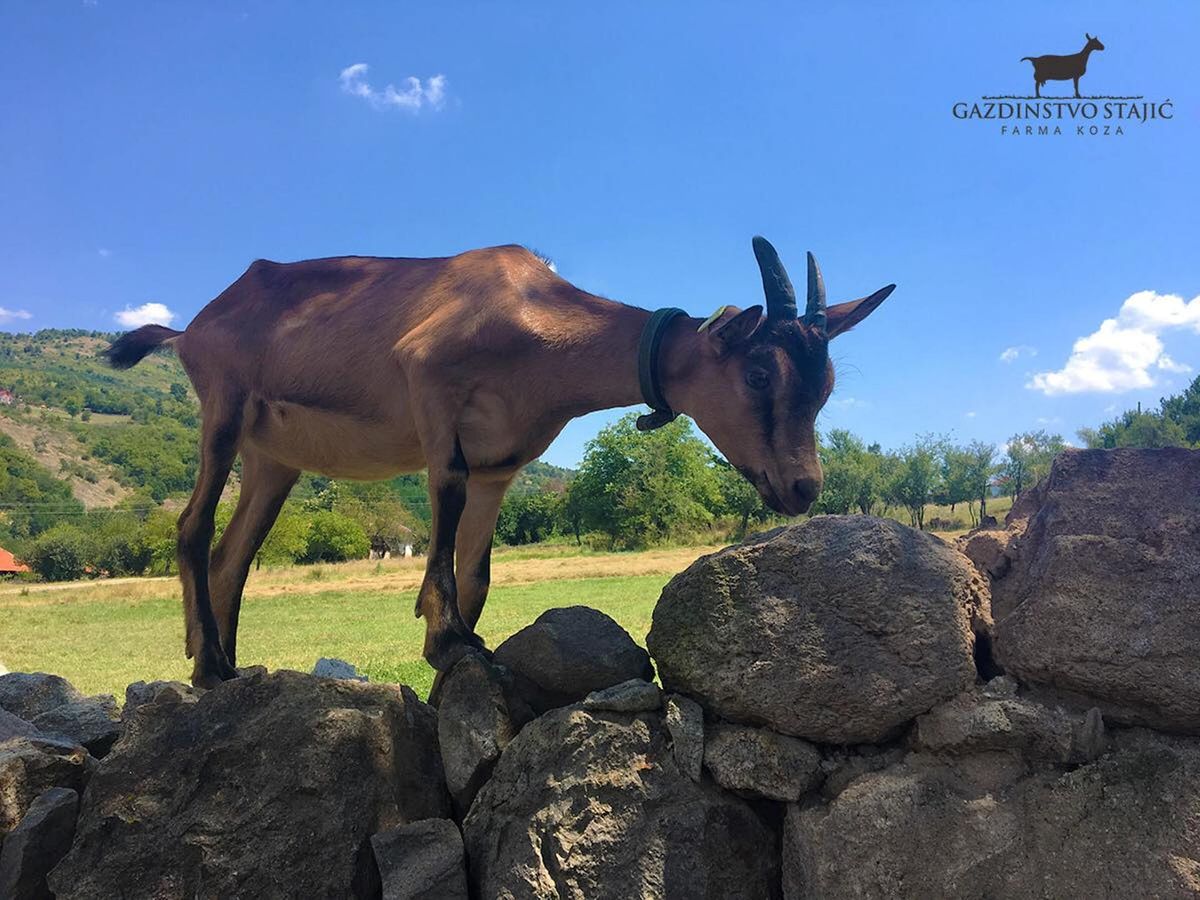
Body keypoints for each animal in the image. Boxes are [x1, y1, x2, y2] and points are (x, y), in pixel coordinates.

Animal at [110, 236, 892, 686]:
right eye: (760, 373)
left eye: (825, 385)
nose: (802, 486)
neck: (531, 308)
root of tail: (193, 326)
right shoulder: (430, 384)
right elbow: (446, 499)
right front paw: (447, 636)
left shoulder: (502, 462)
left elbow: (479, 564)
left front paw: (457, 639)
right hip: (222, 412)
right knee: (191, 528)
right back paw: (212, 664)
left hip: (273, 460)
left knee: (232, 556)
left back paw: (221, 666)